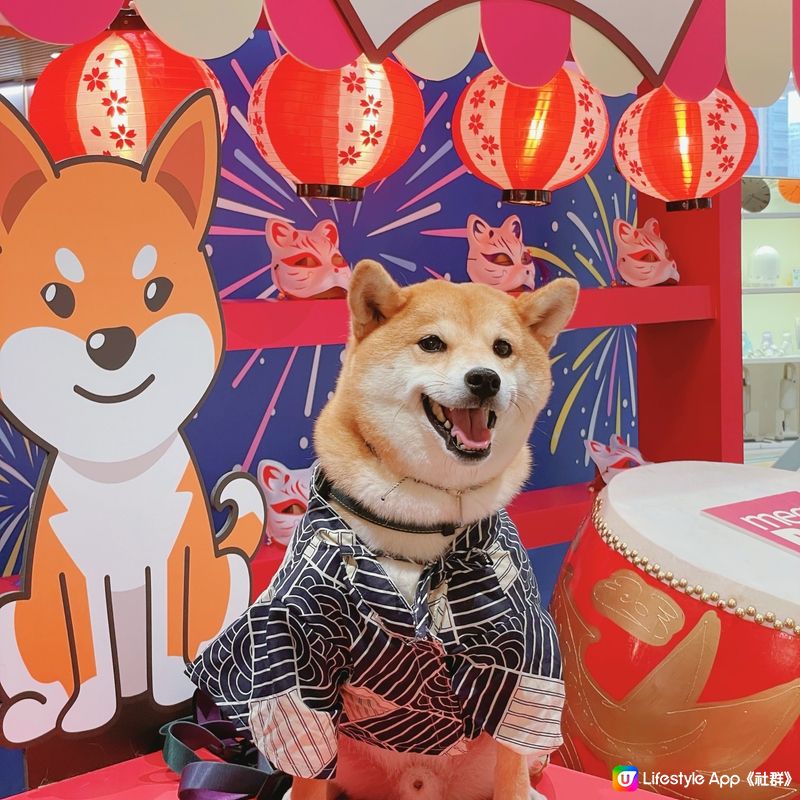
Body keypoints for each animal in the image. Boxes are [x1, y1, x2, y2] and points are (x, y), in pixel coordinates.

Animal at [0, 89, 266, 744]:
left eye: (157, 291)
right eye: (55, 297)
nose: (112, 342)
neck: (117, 473)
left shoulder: (179, 560)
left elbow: (171, 639)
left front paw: (174, 691)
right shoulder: (74, 580)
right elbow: (92, 659)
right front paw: (89, 715)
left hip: (233, 578)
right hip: (15, 620)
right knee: (45, 682)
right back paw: (36, 713)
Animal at [298, 264, 576, 800]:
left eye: (502, 348)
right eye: (431, 343)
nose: (484, 378)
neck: (422, 522)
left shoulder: (526, 657)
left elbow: (514, 755)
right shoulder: (298, 647)